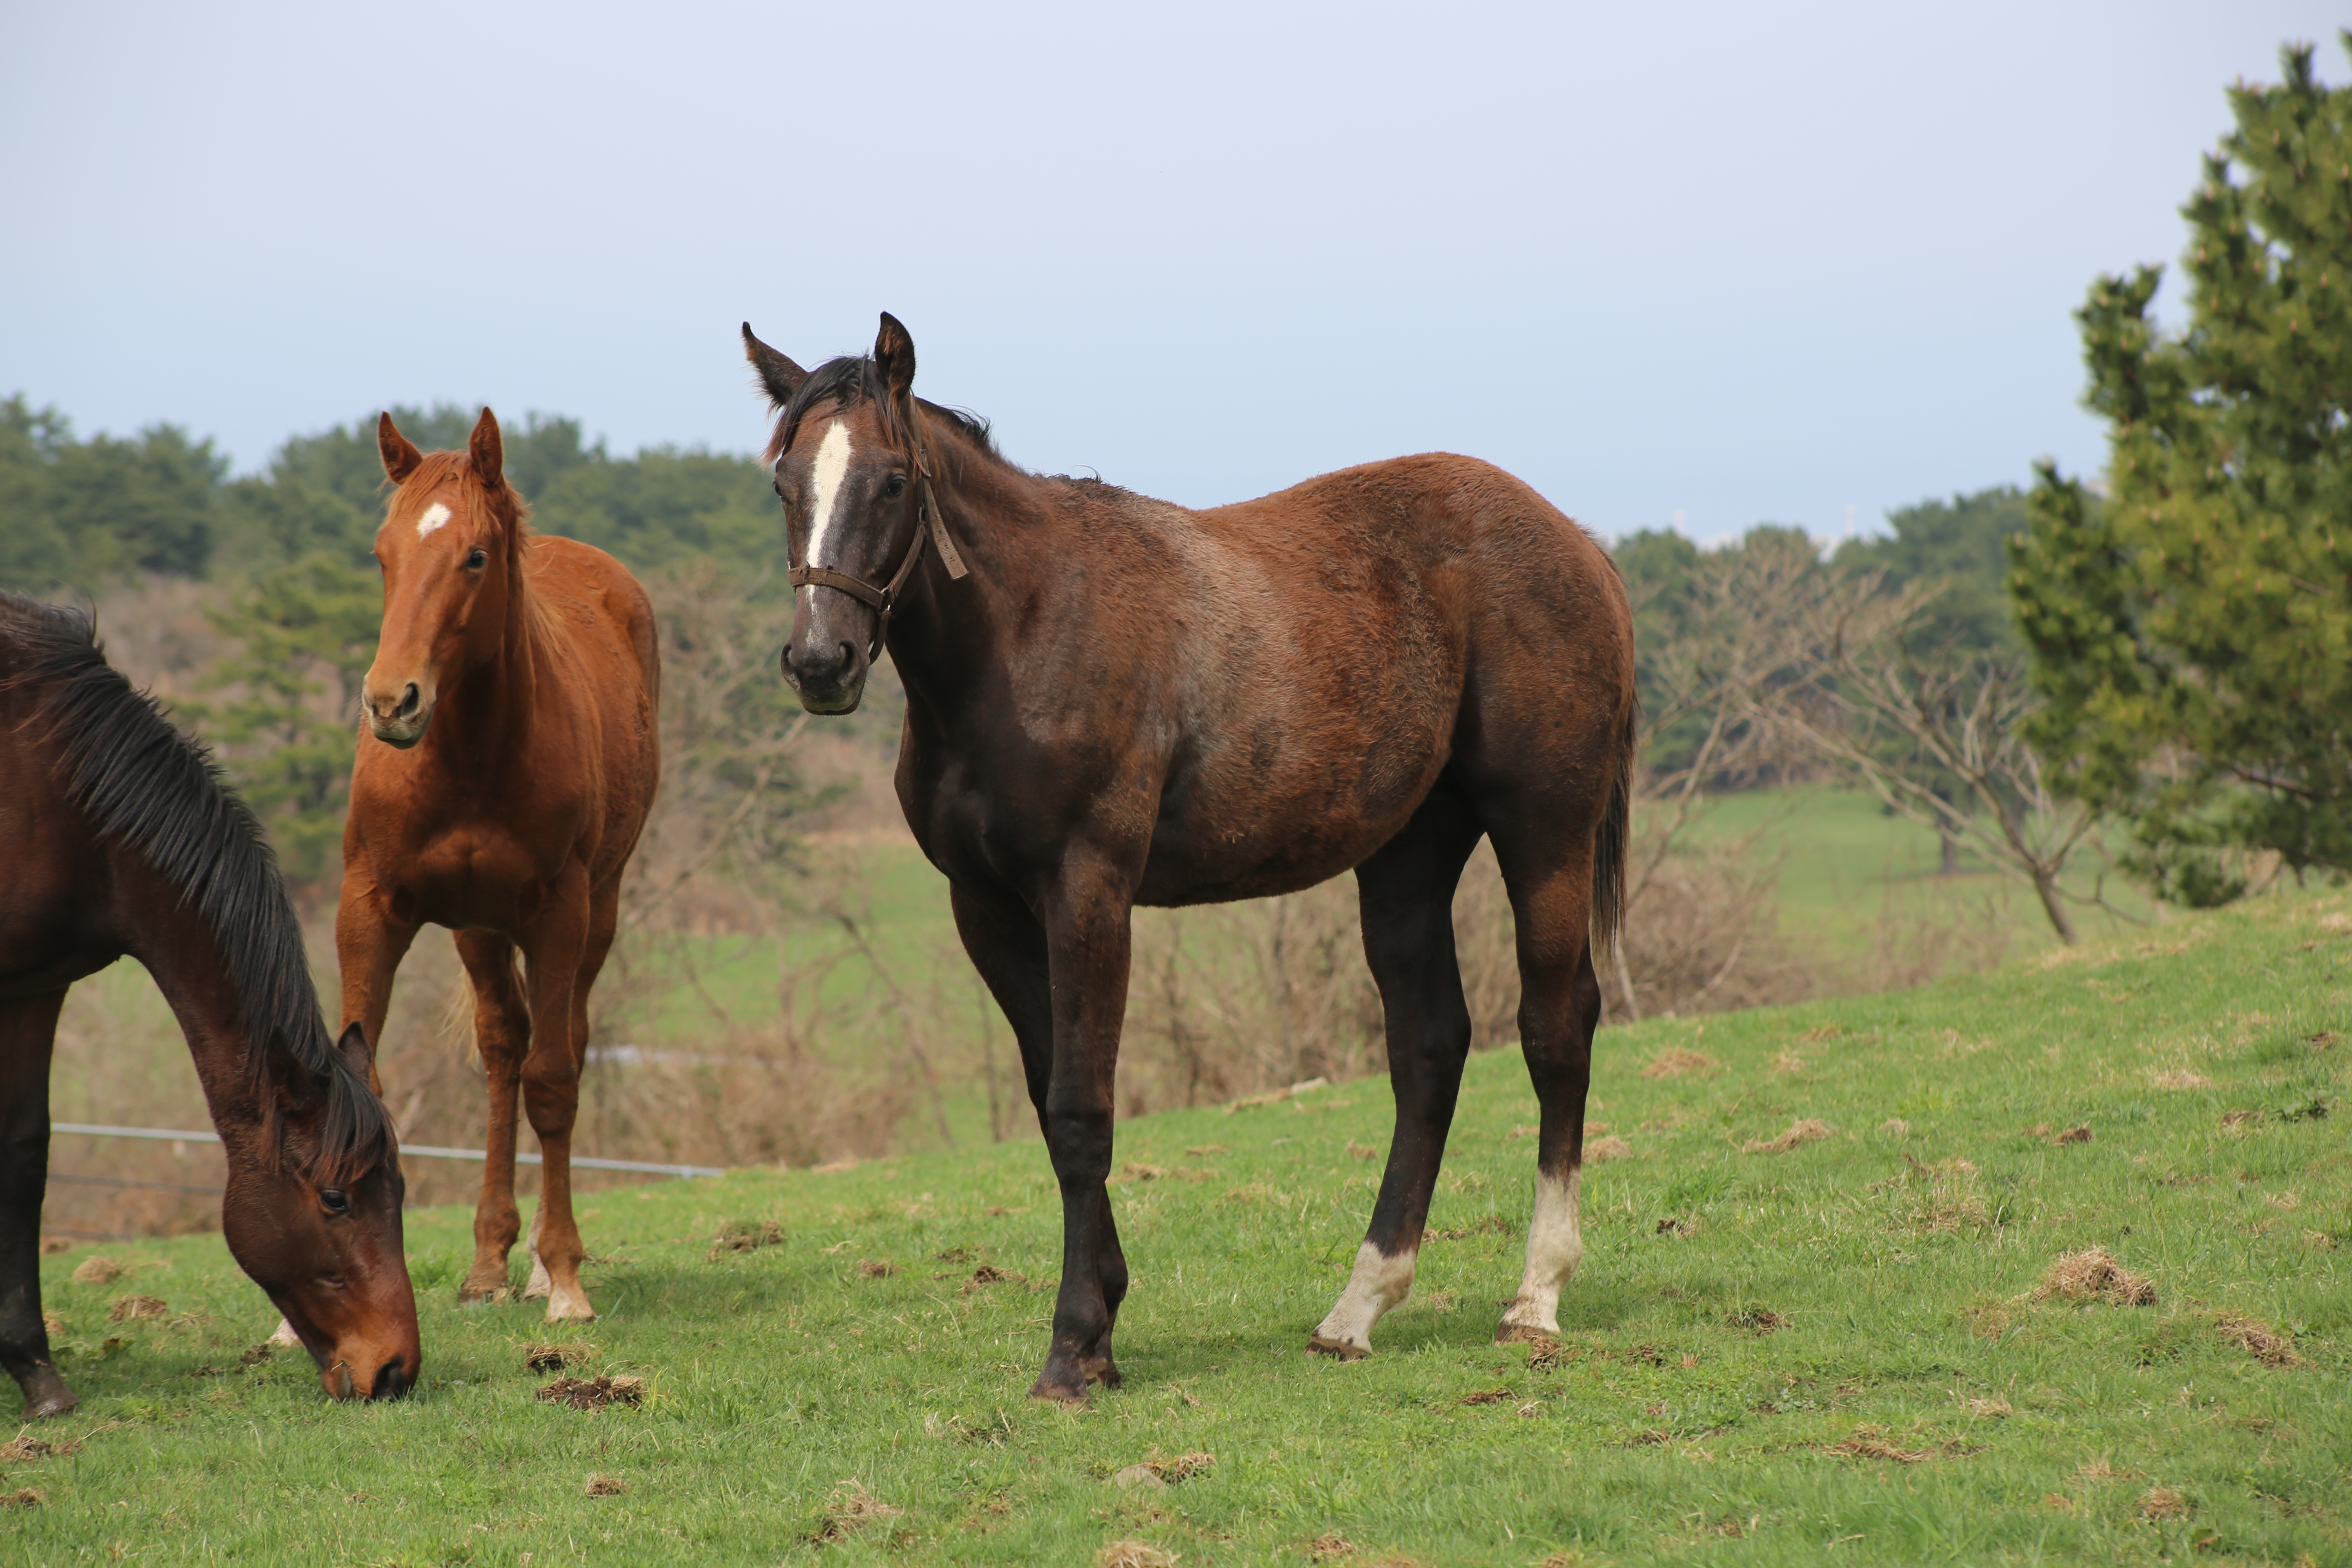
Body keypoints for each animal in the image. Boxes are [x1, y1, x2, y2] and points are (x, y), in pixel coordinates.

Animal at [0, 595, 419, 1420]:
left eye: (400, 1190)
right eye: (336, 1199)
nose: (395, 1370)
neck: (53, 789)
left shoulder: (36, 984)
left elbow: (25, 1155)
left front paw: (35, 1372)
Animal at [339, 409, 663, 1326]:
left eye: (475, 557)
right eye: (382, 552)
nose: (391, 702)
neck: (472, 754)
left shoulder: (560, 912)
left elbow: (554, 1082)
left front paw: (565, 1282)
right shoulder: (370, 906)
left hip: (595, 913)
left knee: (560, 1048)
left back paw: (543, 1265)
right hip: (478, 929)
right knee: (501, 1049)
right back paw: (488, 1261)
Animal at [743, 312, 1627, 1401]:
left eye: (893, 481)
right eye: (784, 483)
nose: (819, 662)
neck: (1028, 632)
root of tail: (1574, 542)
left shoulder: (1088, 891)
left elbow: (1083, 1108)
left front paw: (1072, 1346)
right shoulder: (985, 910)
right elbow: (1050, 1106)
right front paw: (1102, 1325)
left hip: (1544, 832)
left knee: (1555, 1028)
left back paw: (1534, 1298)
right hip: (1406, 854)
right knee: (1427, 1048)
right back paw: (1357, 1309)